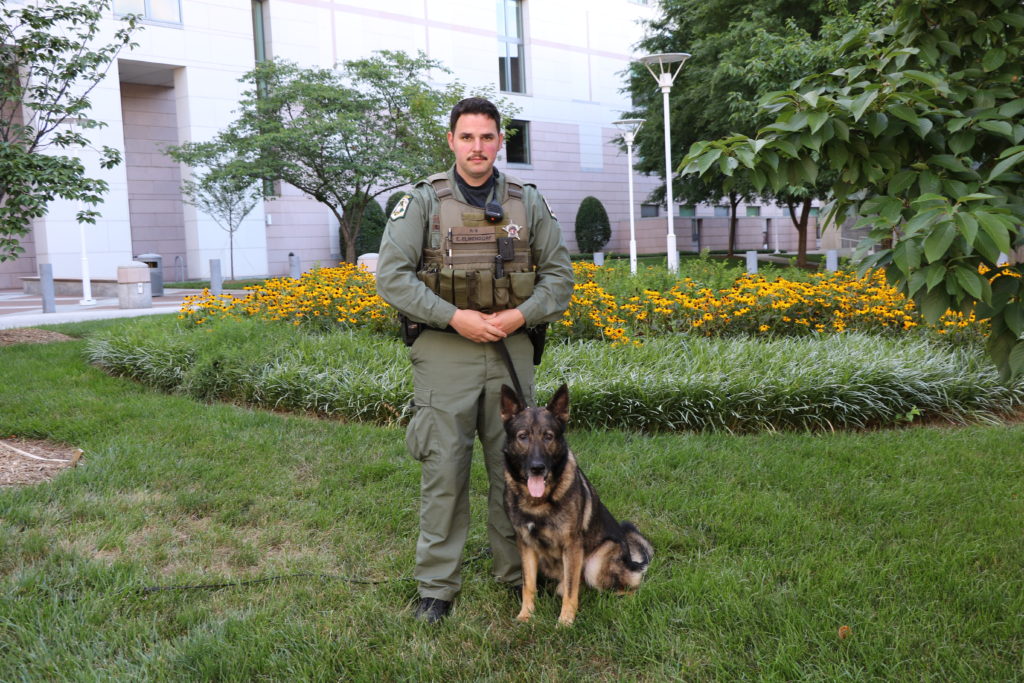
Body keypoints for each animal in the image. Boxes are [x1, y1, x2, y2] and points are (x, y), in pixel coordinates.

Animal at [501, 385, 655, 626]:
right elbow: (529, 584)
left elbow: (571, 588)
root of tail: (631, 559)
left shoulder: (572, 546)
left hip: (594, 565)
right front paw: (526, 614)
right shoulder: (525, 545)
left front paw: (565, 621)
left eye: (548, 436)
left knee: (629, 587)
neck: (539, 502)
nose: (537, 467)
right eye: (523, 437)